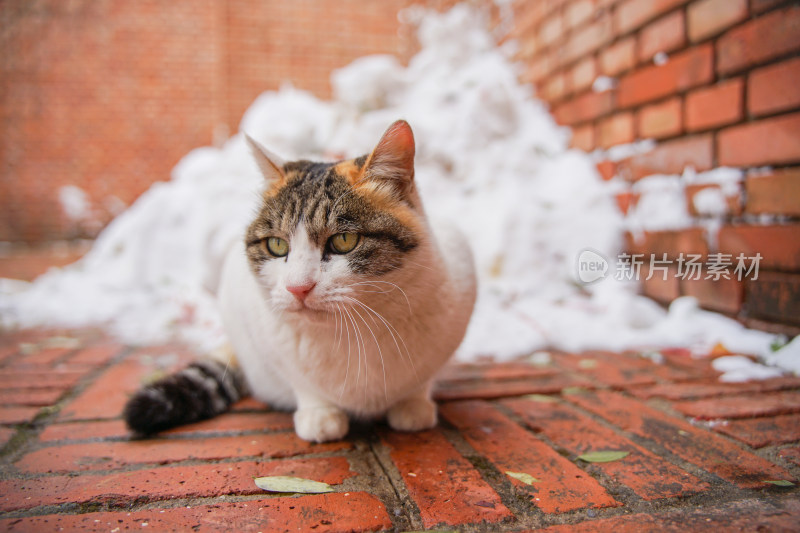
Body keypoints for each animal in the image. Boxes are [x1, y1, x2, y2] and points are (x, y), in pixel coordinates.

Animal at [123, 120, 476, 440]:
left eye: (344, 240)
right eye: (276, 245)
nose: (298, 287)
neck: (355, 334)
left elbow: (420, 382)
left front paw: (412, 406)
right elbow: (304, 384)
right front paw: (320, 416)